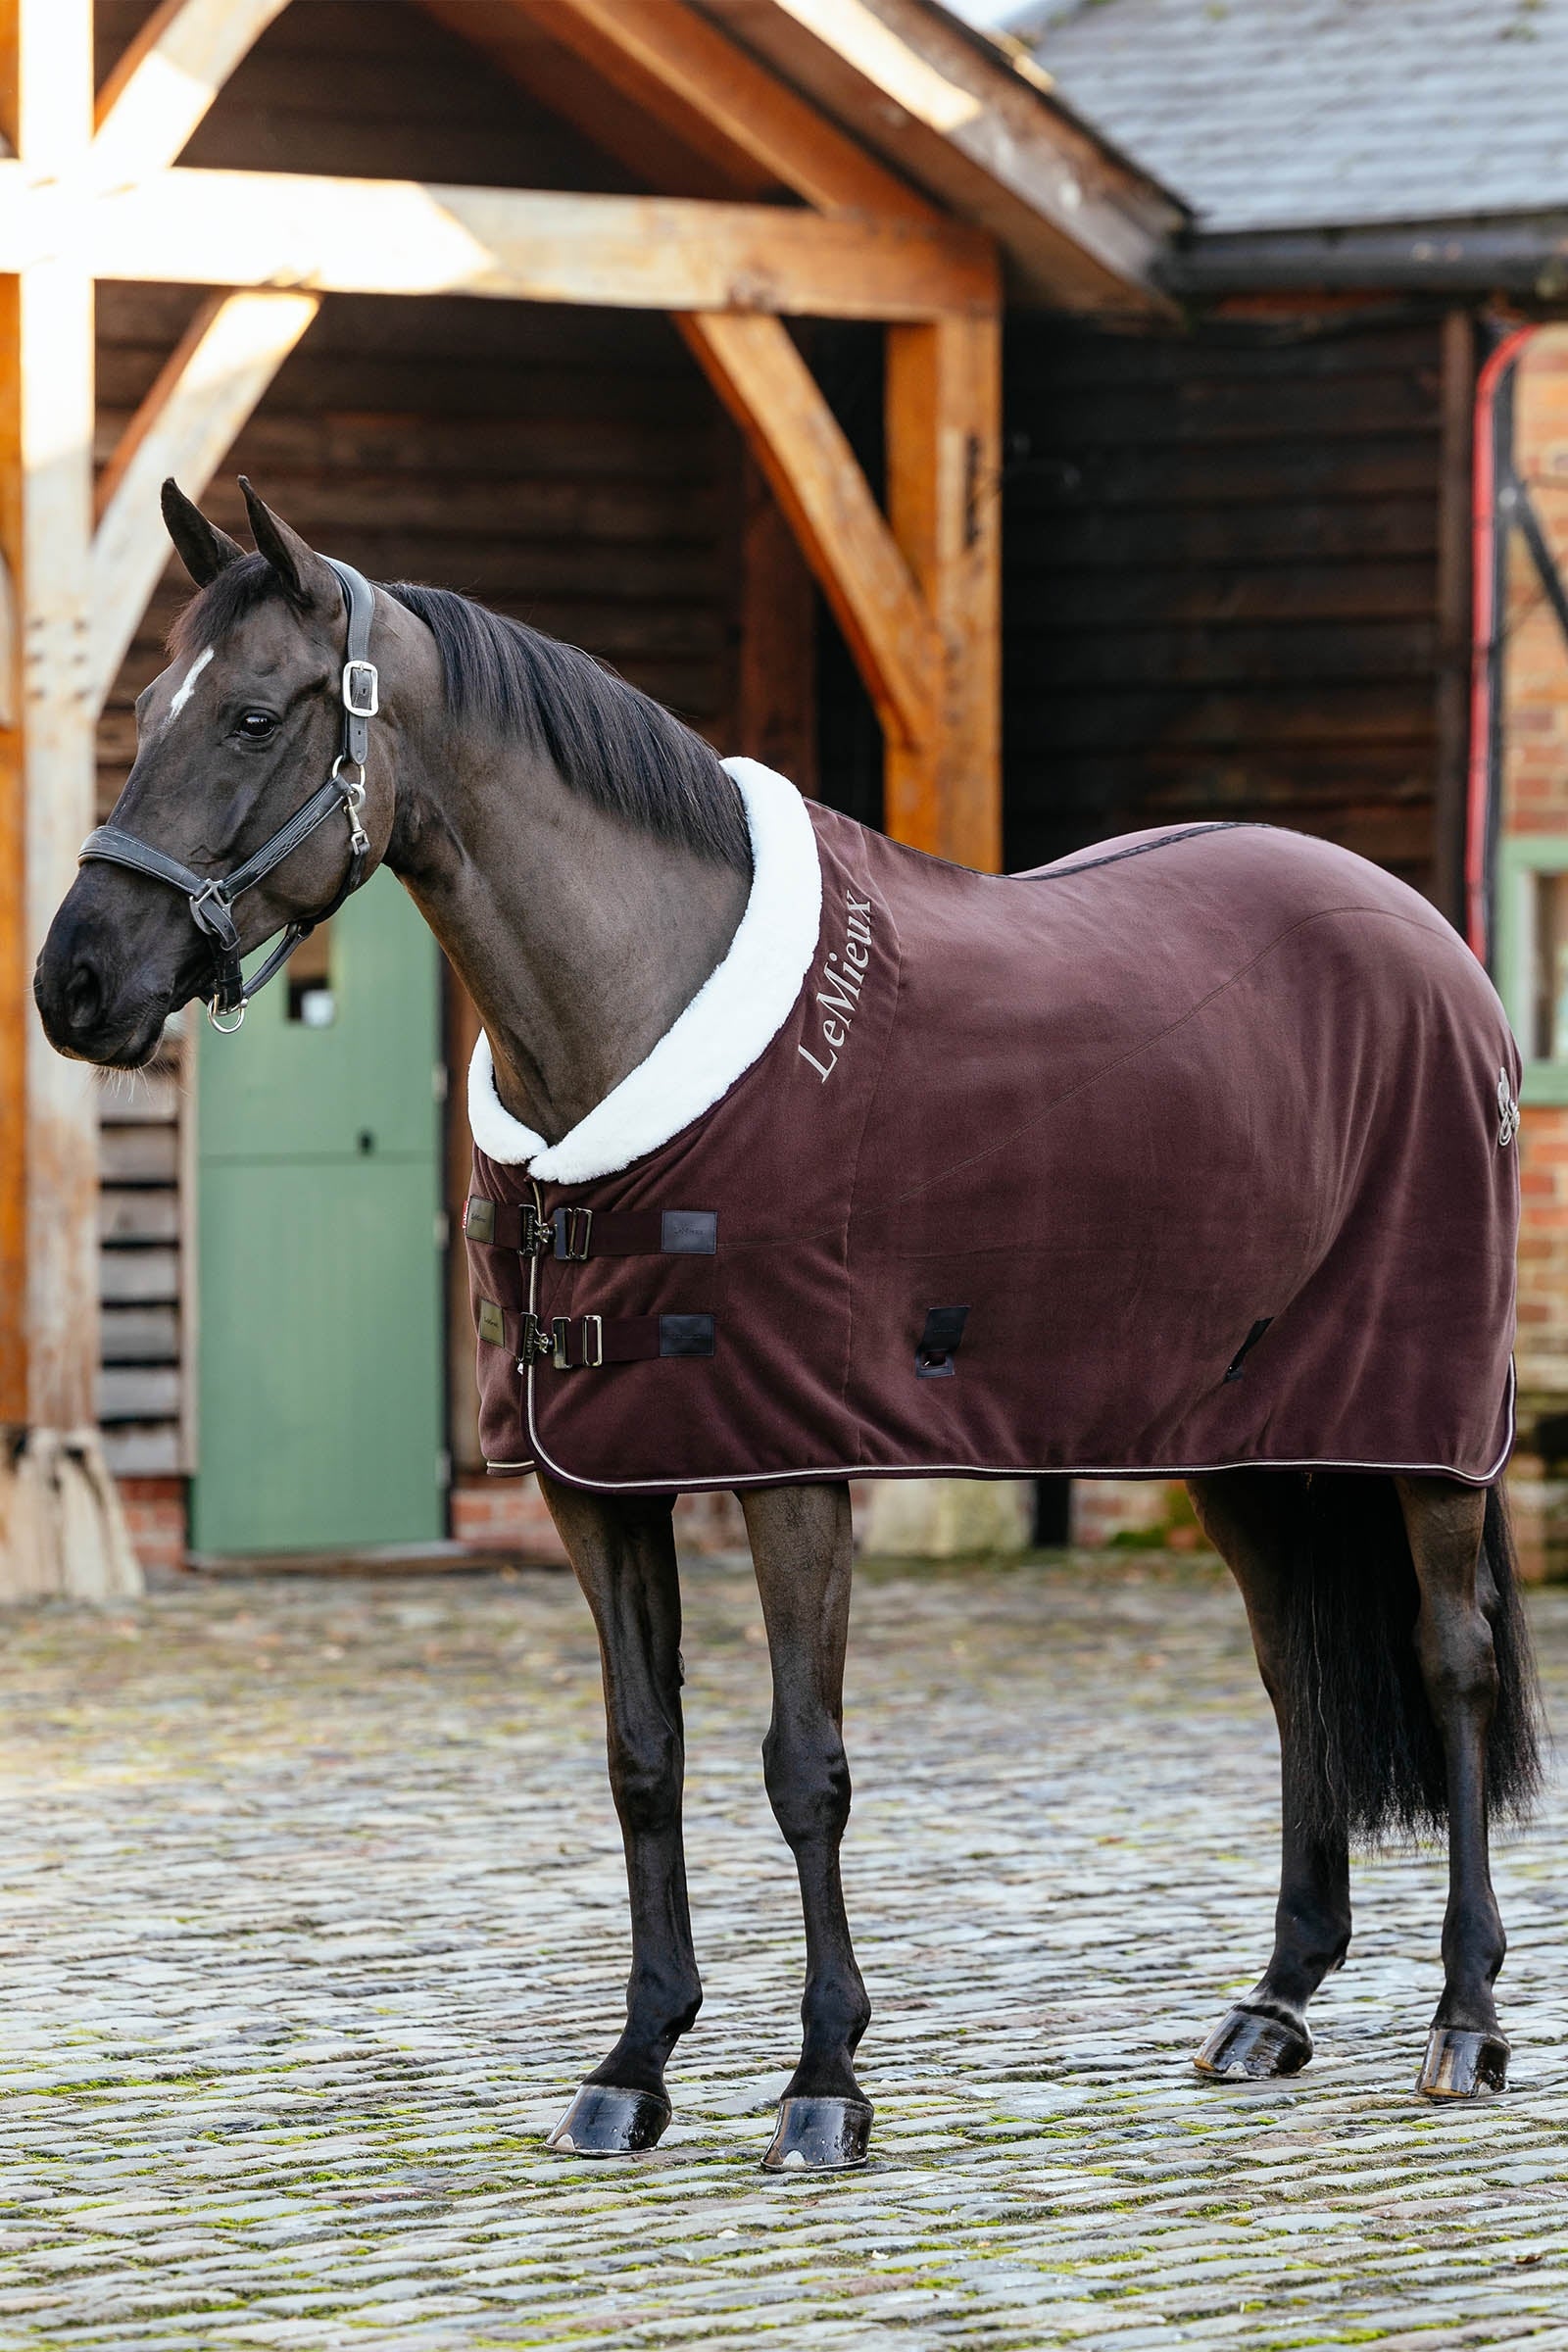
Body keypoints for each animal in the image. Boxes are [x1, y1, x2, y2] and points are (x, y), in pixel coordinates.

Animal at [36, 479, 1543, 2173]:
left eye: (247, 714)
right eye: (143, 710)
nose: (74, 982)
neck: (639, 1021)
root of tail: (1435, 949)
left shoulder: (791, 1466)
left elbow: (801, 1765)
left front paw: (825, 2082)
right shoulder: (594, 1481)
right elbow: (643, 1757)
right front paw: (634, 2066)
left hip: (1426, 1428)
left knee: (1451, 1662)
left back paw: (1465, 2024)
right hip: (1245, 1436)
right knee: (1296, 1676)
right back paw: (1274, 2003)